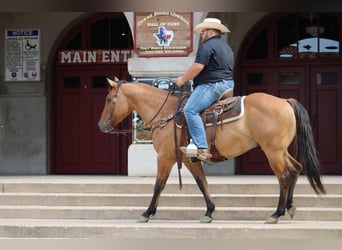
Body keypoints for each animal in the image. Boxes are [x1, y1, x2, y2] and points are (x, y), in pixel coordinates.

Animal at [97, 77, 324, 224]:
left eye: (109, 100)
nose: (101, 126)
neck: (165, 113)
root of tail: (285, 101)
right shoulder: (188, 160)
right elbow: (202, 183)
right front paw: (209, 211)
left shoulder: (165, 158)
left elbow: (158, 186)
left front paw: (147, 212)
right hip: (280, 150)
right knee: (295, 169)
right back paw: (290, 207)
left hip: (273, 151)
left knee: (283, 176)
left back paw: (276, 213)